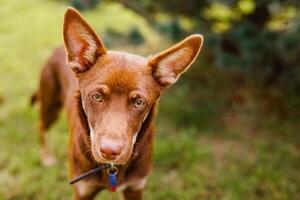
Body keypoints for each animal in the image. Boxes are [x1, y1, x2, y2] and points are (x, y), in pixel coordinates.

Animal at [31, 7, 203, 200]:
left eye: (139, 102)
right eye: (97, 96)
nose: (109, 152)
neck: (111, 170)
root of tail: (58, 48)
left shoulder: (135, 188)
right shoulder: (83, 191)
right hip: (50, 105)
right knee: (40, 125)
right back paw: (47, 157)